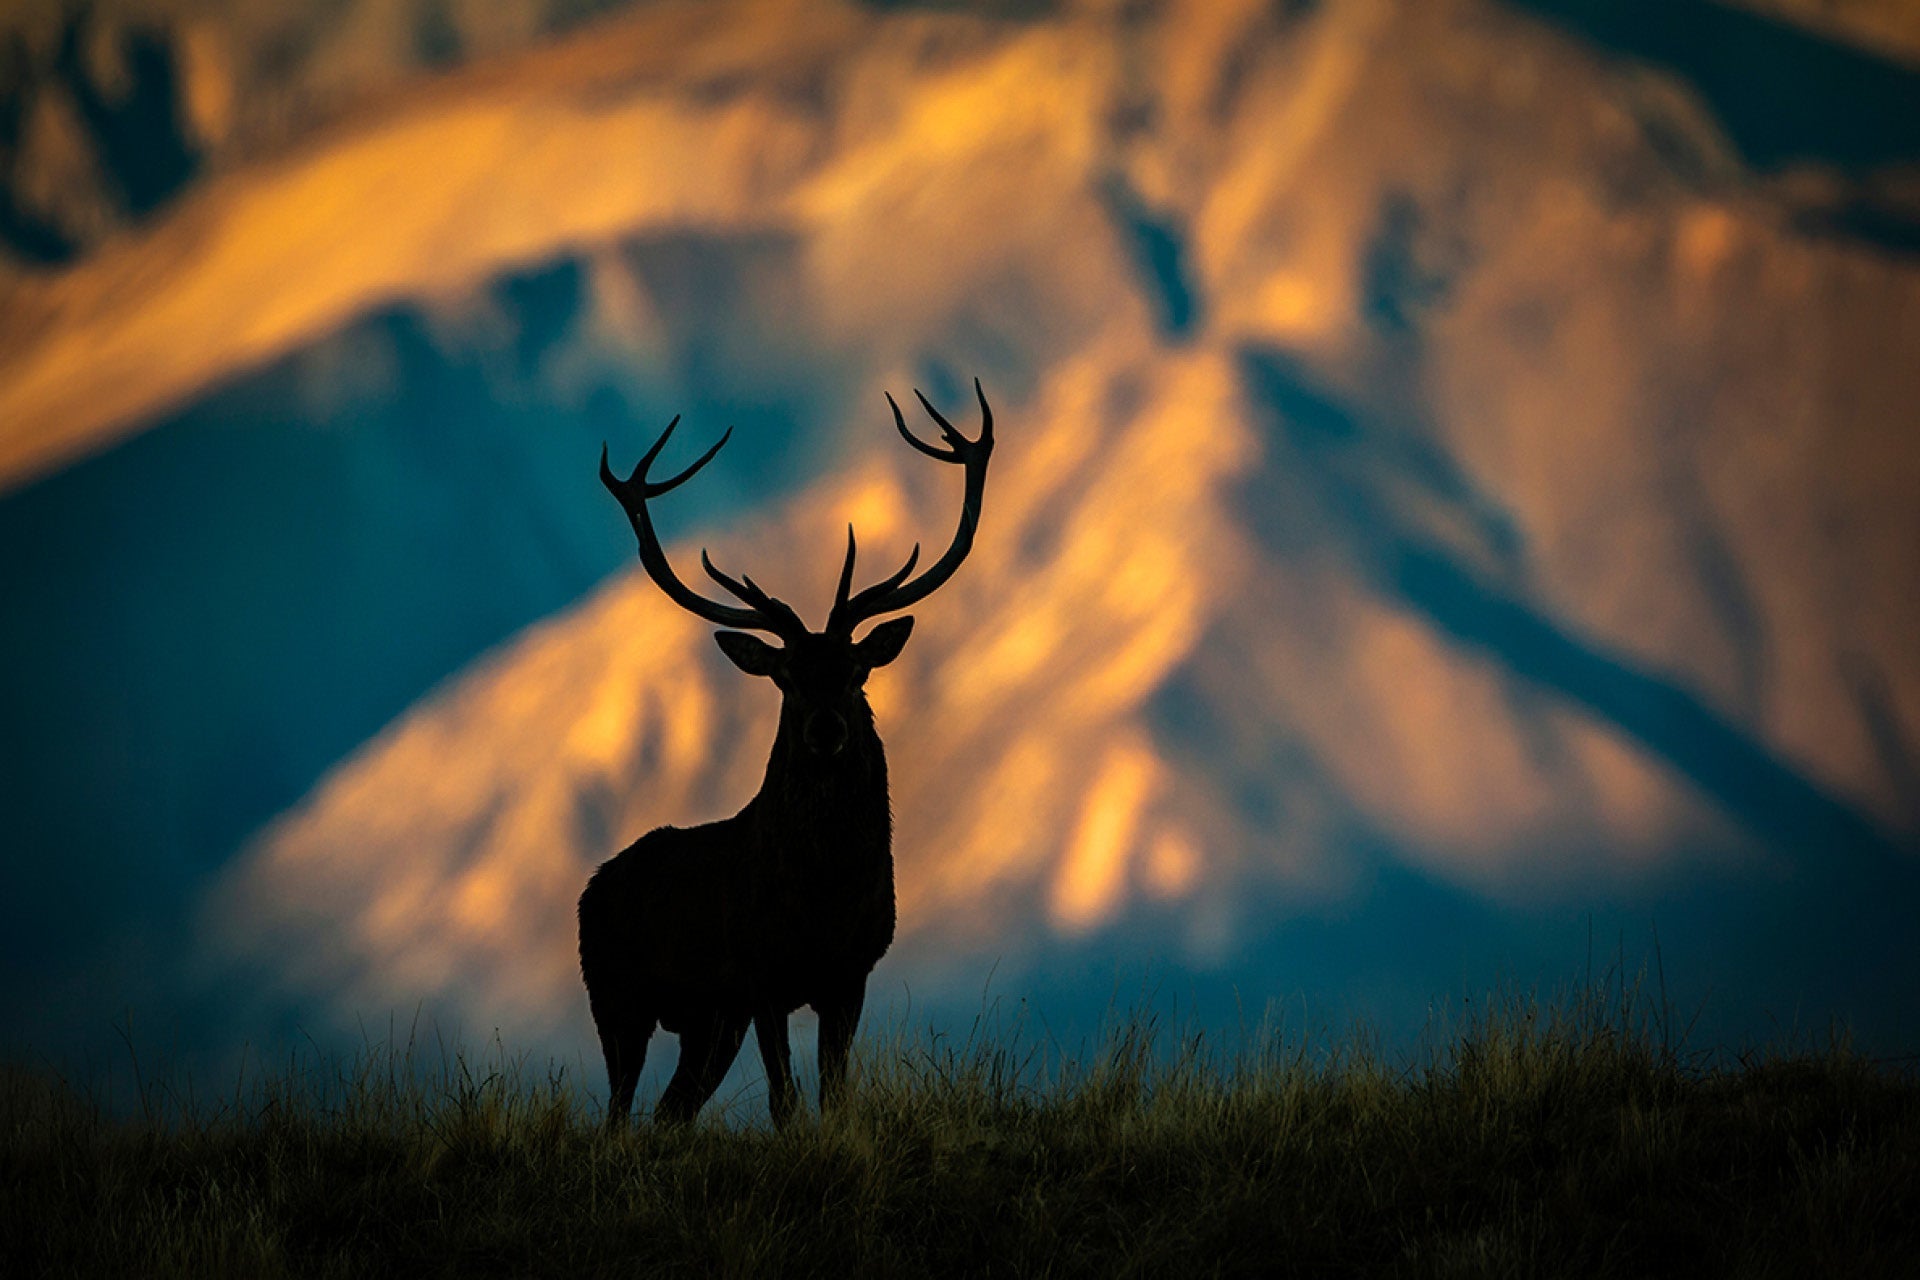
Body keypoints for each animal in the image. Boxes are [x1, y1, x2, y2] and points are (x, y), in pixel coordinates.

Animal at [578, 381, 993, 1127]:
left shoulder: (851, 973)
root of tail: (591, 887)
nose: (826, 729)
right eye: (787, 677)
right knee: (620, 1113)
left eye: (855, 671)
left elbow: (834, 1096)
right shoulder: (759, 972)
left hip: (708, 1021)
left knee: (670, 1112)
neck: (824, 893)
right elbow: (785, 1102)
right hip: (616, 996)